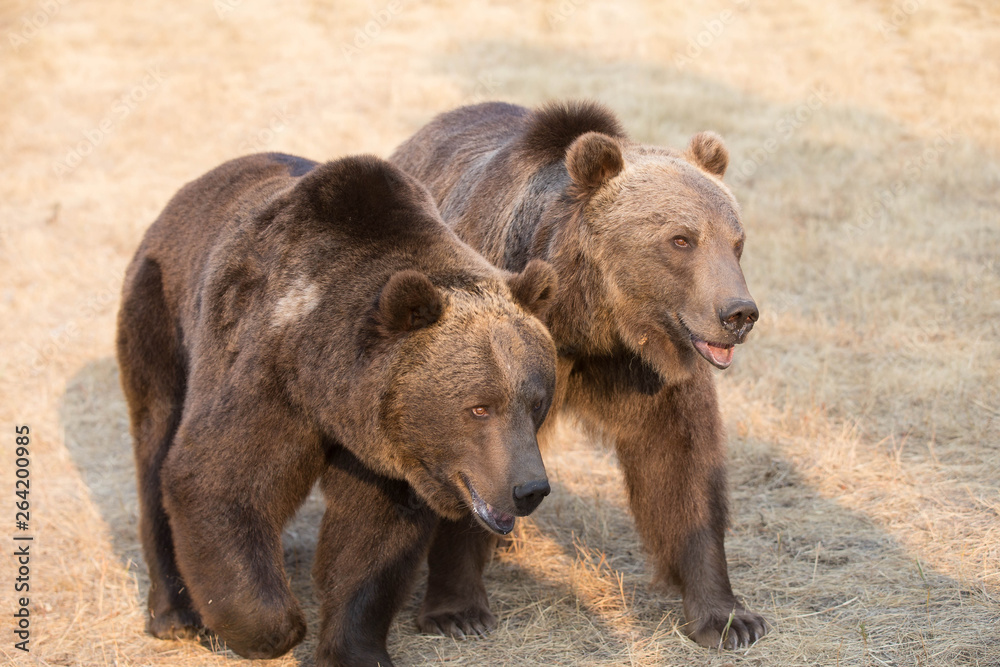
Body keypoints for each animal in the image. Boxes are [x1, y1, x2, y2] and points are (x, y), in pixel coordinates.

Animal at [116, 152, 559, 666]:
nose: (529, 488)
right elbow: (217, 478)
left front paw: (354, 648)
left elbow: (370, 539)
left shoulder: (385, 443)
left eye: (536, 401)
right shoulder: (266, 370)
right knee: (156, 446)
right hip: (161, 316)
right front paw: (275, 628)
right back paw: (175, 615)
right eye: (479, 408)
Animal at [389, 101, 766, 649]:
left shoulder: (653, 374)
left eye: (736, 242)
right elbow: (468, 453)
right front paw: (457, 610)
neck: (588, 324)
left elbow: (684, 468)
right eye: (680, 239)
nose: (738, 313)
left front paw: (728, 617)